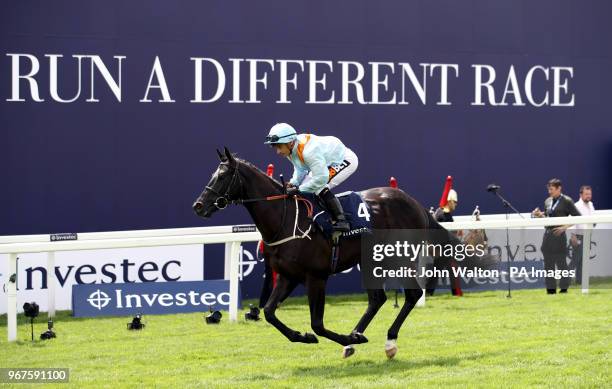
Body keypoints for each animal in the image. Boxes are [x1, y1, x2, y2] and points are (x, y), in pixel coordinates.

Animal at [192, 148, 454, 358]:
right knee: (377, 299)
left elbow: (317, 324)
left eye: (222, 176)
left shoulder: (316, 277)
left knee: (412, 294)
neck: (285, 219)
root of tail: (415, 203)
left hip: (399, 257)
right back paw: (356, 337)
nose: (198, 205)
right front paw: (307, 336)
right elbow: (268, 312)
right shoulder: (288, 276)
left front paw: (338, 338)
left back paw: (388, 341)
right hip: (371, 260)